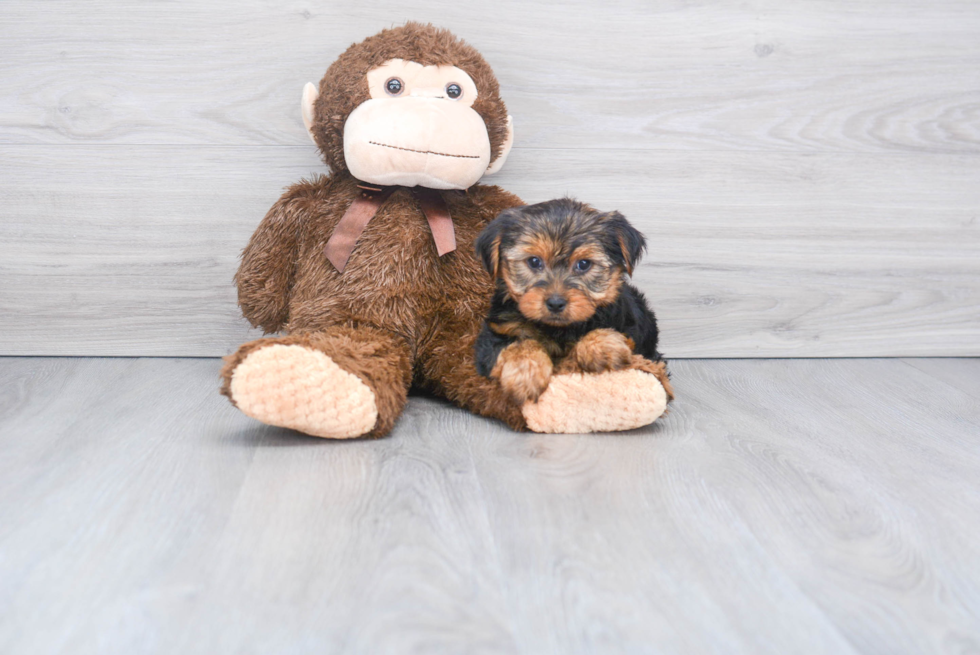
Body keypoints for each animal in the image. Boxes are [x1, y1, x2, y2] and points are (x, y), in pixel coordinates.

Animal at [474, 199, 672, 404]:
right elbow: (517, 344)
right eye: (534, 261)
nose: (555, 303)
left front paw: (603, 348)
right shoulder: (495, 334)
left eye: (583, 264)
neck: (558, 329)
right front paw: (525, 373)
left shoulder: (629, 330)